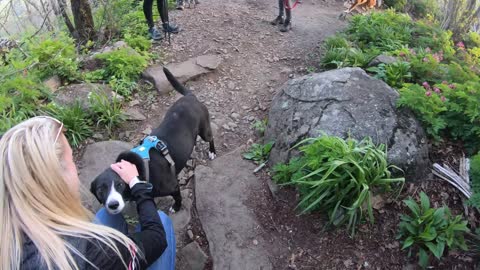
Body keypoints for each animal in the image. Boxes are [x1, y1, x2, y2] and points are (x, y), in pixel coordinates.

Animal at [89, 67, 216, 215]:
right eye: (100, 190)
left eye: (120, 184)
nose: (113, 204)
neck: (140, 168)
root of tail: (190, 97)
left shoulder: (173, 187)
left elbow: (178, 197)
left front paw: (176, 207)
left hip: (204, 131)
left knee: (211, 138)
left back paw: (212, 152)